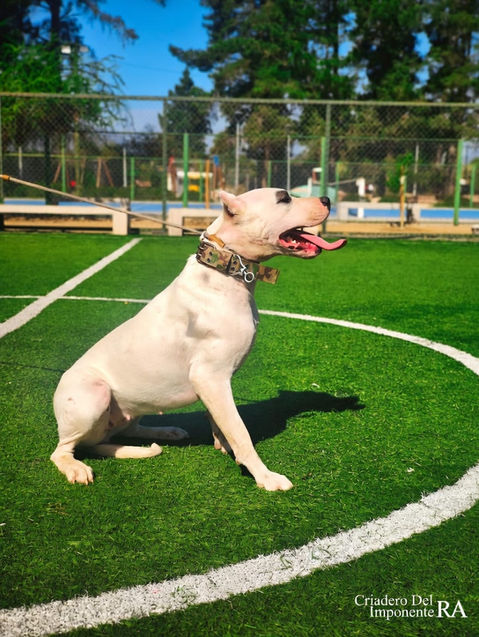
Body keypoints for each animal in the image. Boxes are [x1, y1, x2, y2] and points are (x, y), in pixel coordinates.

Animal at [51, 188, 346, 491]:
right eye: (284, 198)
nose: (327, 199)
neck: (226, 269)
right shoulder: (210, 377)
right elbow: (241, 432)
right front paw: (264, 476)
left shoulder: (214, 383)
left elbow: (220, 421)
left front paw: (223, 444)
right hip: (93, 397)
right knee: (64, 449)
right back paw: (75, 467)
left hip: (133, 405)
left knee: (125, 430)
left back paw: (165, 431)